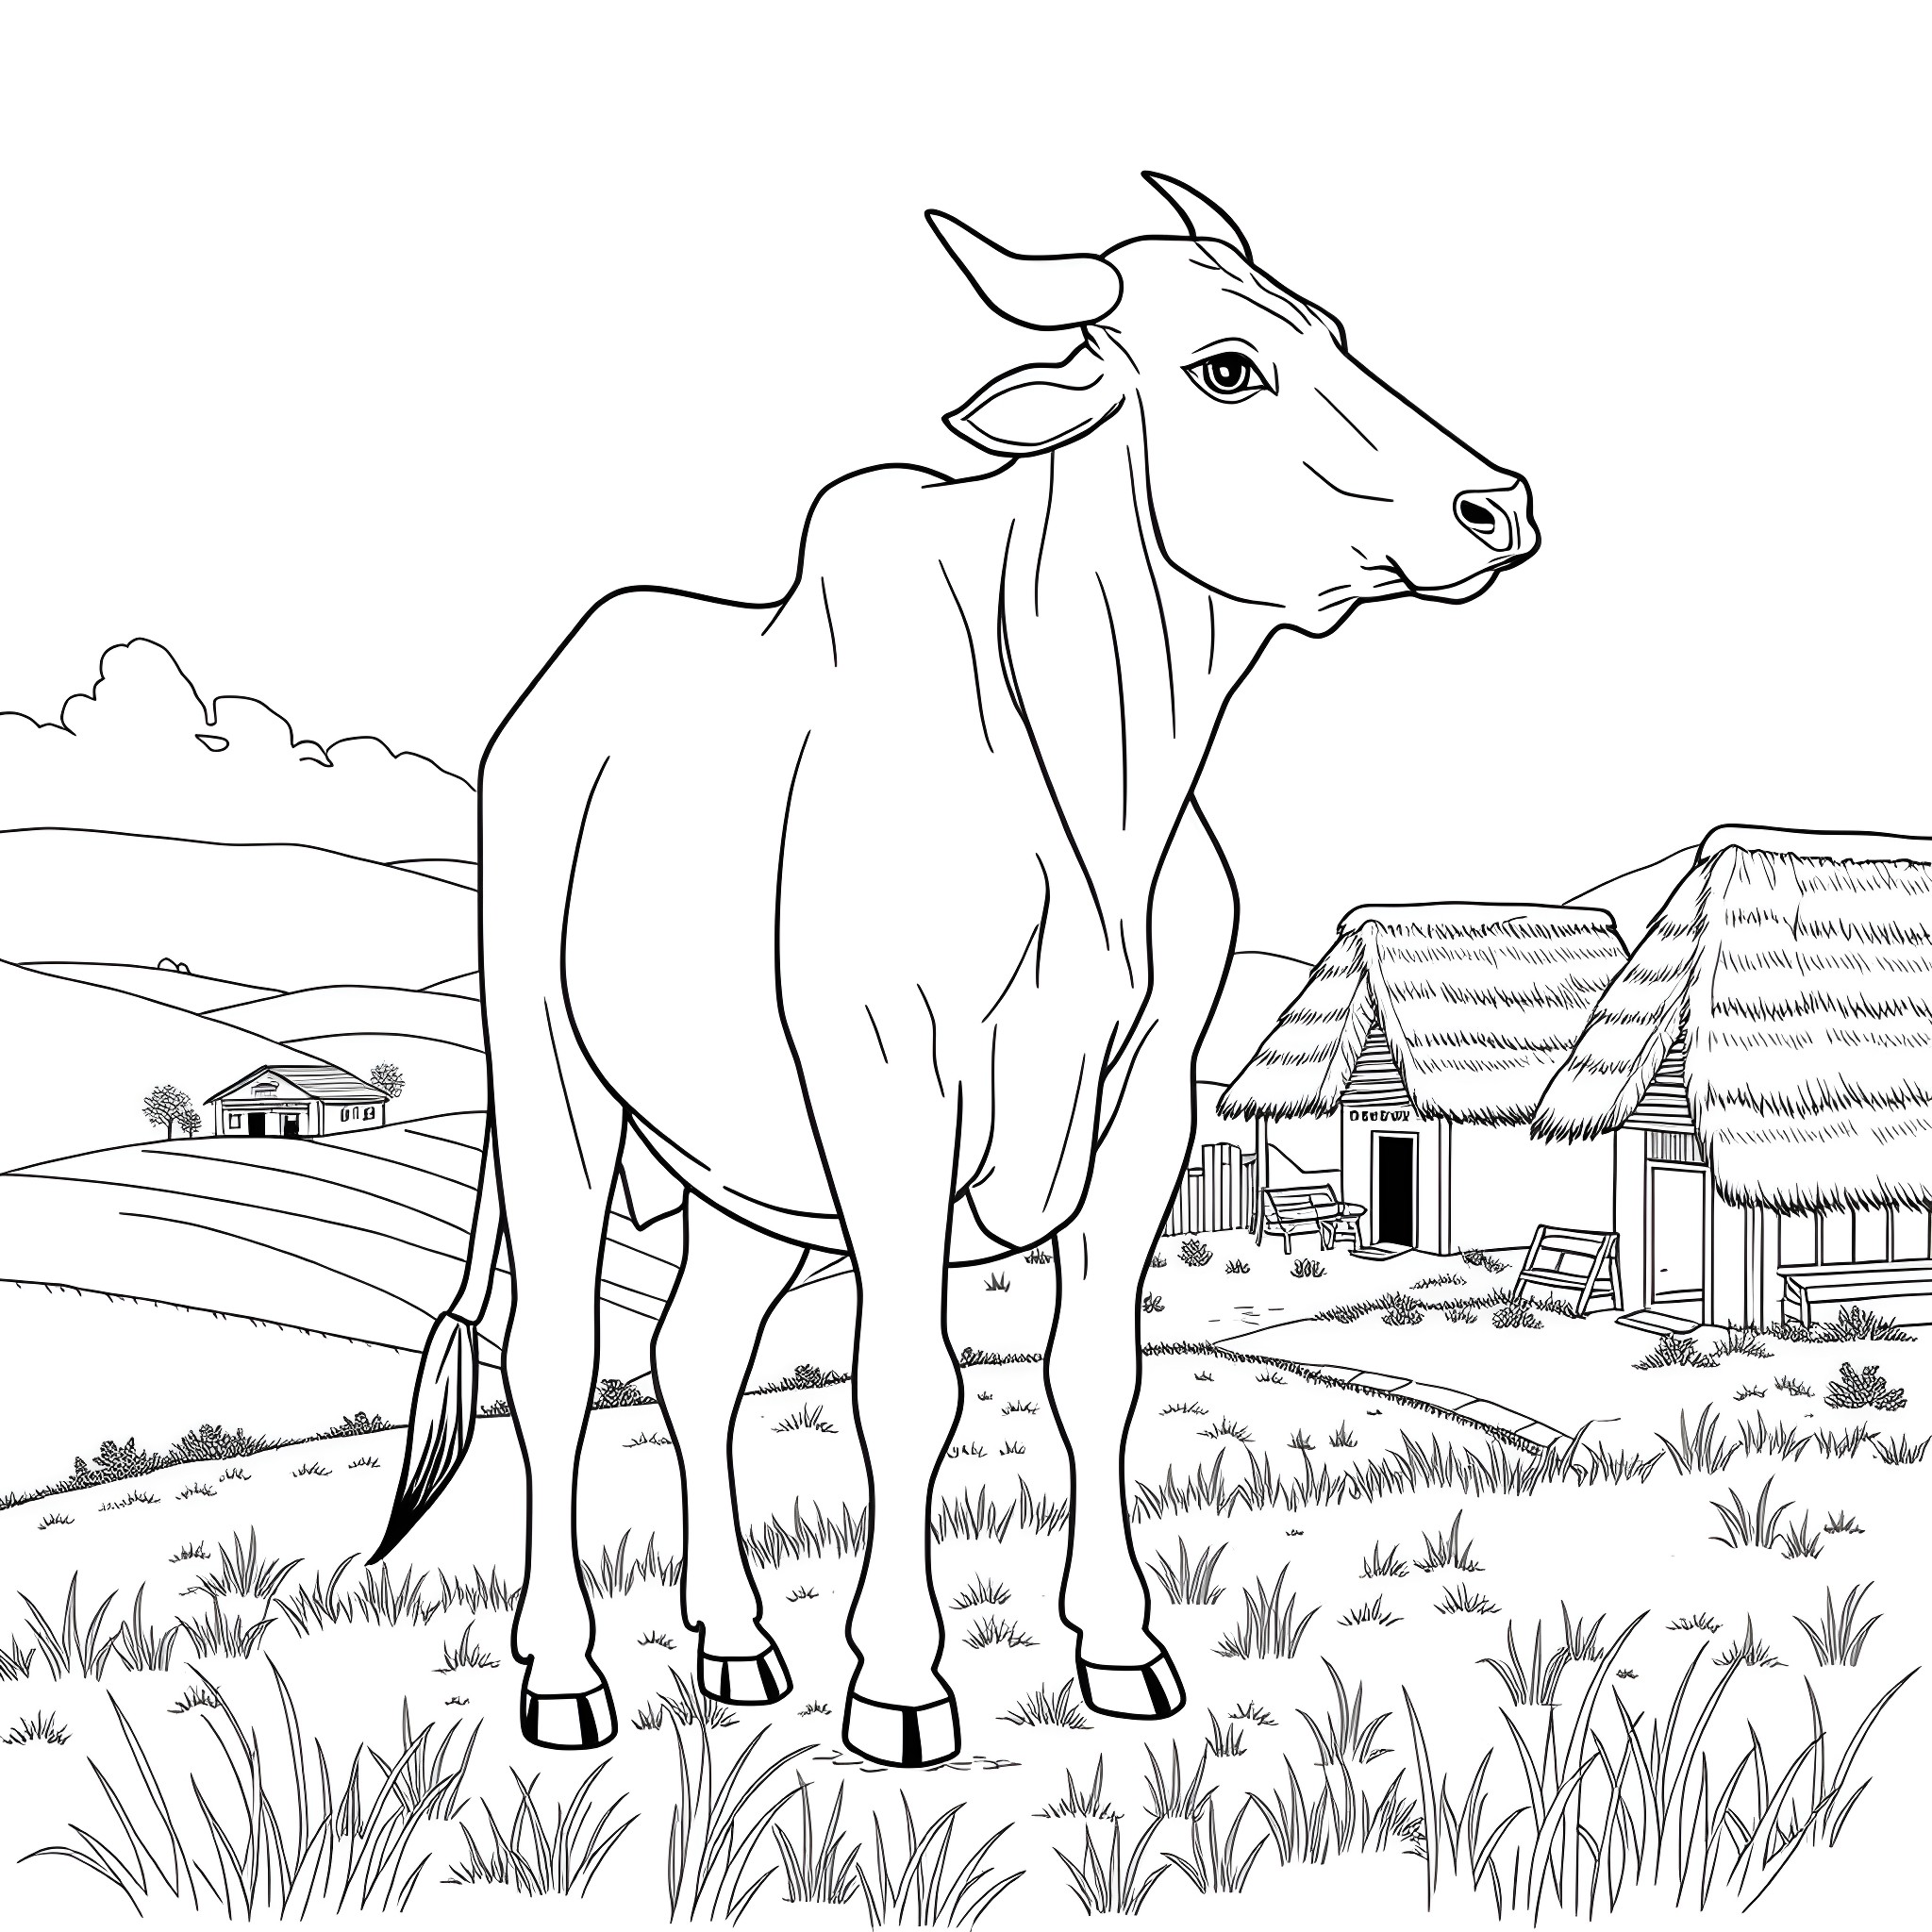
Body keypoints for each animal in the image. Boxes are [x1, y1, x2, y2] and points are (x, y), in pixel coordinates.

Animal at [372, 173, 1538, 1768]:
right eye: (1227, 367)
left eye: (1336, 334)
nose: (1497, 504)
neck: (1096, 789)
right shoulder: (890, 1086)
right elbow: (908, 1384)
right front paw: (901, 1683)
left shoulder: (1147, 1107)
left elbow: (1094, 1371)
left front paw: (1121, 1649)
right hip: (554, 1080)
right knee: (552, 1359)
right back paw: (565, 1673)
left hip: (748, 1175)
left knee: (695, 1355)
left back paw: (736, 1644)